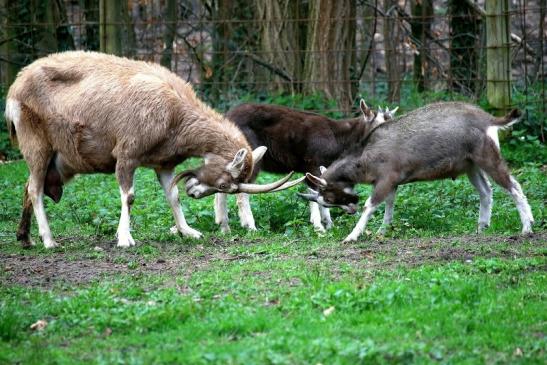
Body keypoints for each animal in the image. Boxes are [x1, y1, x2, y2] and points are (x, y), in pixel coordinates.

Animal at [4, 52, 302, 247]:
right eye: (224, 184)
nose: (195, 191)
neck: (174, 111)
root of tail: (15, 88)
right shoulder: (126, 155)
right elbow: (129, 196)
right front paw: (125, 238)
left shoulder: (163, 164)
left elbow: (172, 196)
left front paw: (188, 232)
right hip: (37, 145)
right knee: (35, 189)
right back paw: (49, 241)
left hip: (61, 163)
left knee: (29, 186)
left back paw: (25, 238)